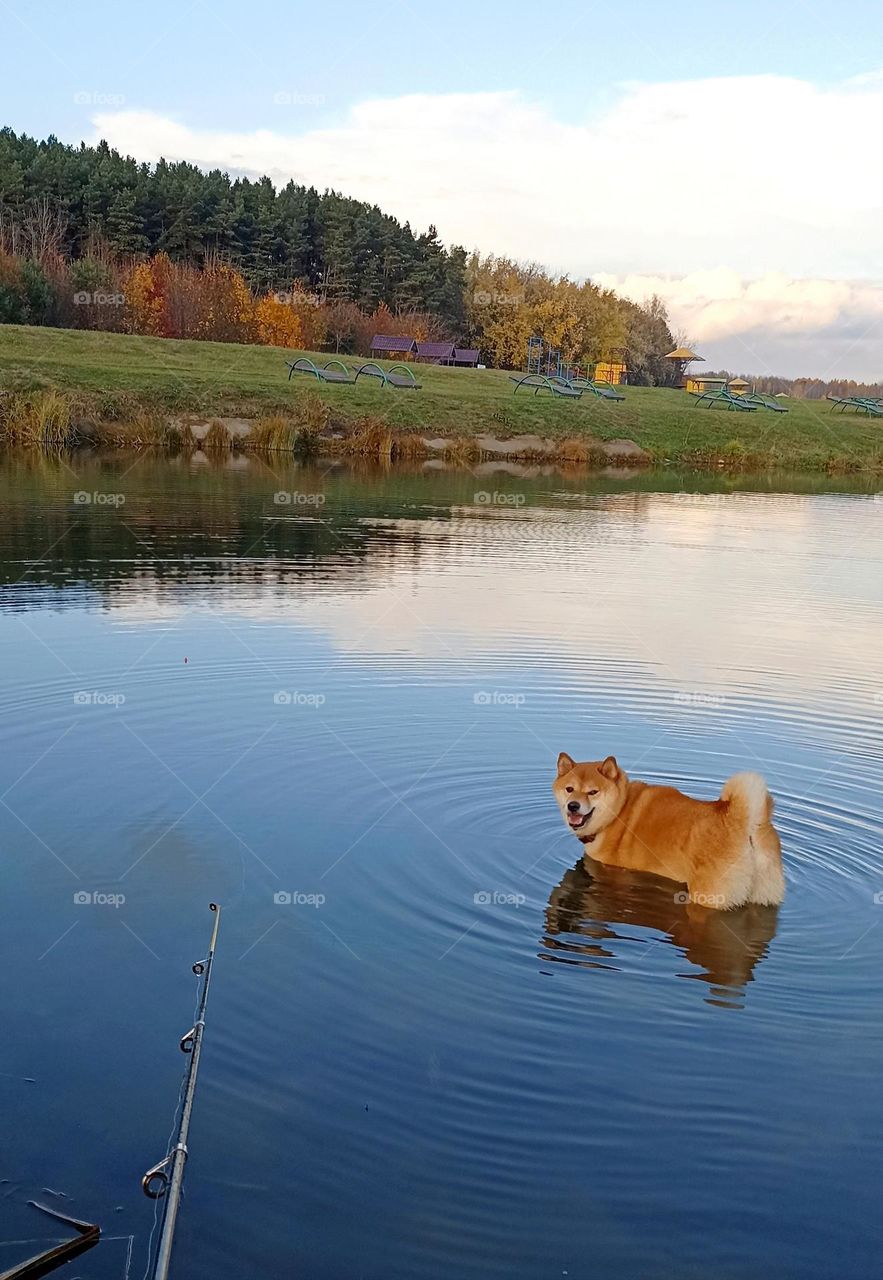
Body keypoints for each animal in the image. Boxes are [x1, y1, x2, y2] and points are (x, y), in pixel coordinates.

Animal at [550, 747, 783, 911]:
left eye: (593, 792)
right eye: (569, 789)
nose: (573, 806)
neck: (619, 810)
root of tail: (739, 818)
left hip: (710, 895)